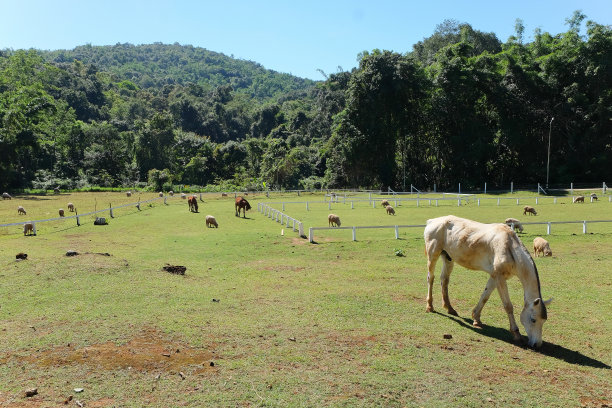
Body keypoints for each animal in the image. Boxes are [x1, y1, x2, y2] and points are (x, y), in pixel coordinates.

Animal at [426, 215, 548, 350]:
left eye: (544, 320)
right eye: (533, 319)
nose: (537, 344)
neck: (510, 246)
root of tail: (432, 221)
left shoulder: (495, 277)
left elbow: (485, 297)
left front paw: (476, 319)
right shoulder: (499, 278)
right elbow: (508, 306)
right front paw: (516, 334)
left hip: (448, 258)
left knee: (444, 280)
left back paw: (450, 308)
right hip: (433, 255)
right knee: (431, 278)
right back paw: (430, 306)